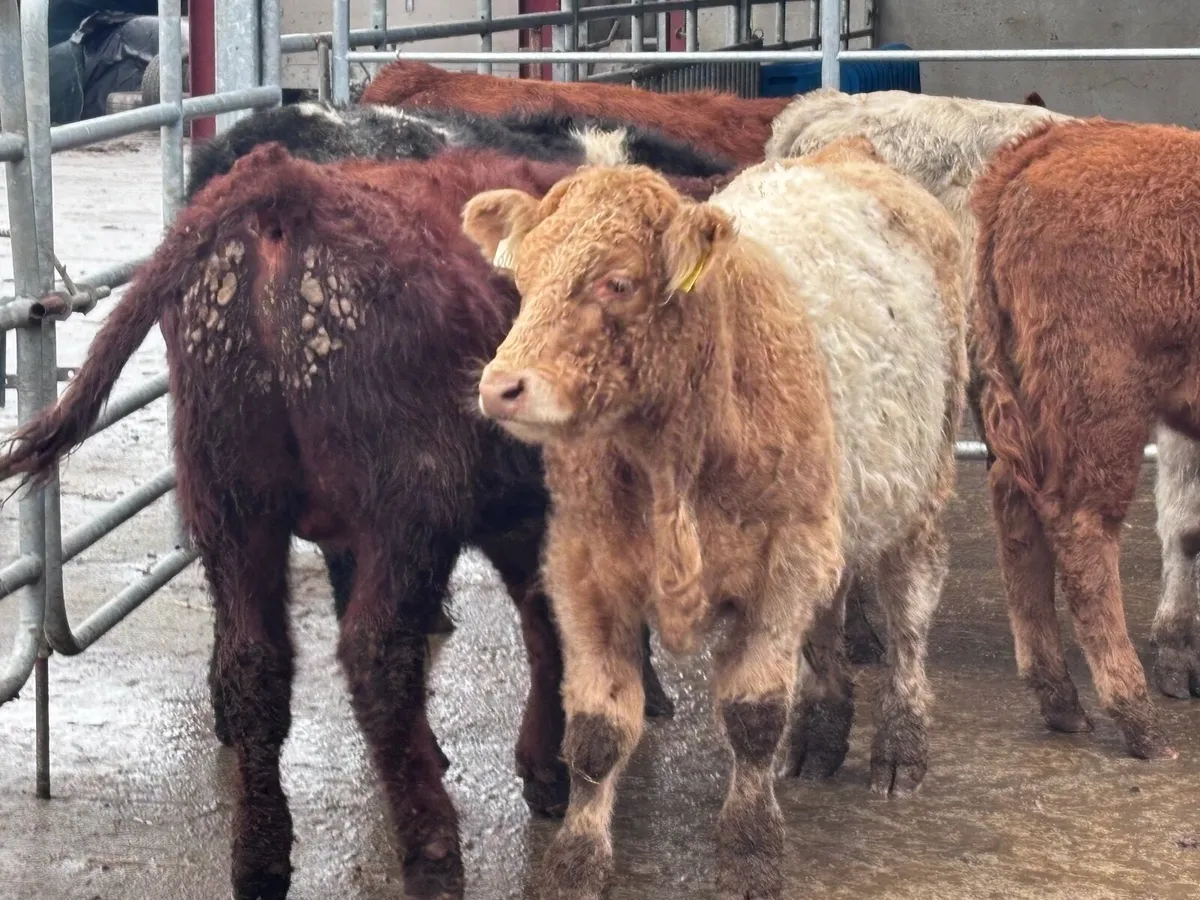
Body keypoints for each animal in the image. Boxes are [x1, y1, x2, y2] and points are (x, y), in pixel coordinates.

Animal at [0, 146, 728, 900]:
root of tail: (284, 184)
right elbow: (551, 627)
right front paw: (556, 764)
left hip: (233, 504)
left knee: (258, 663)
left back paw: (260, 858)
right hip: (406, 508)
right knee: (378, 656)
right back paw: (434, 857)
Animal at [465, 137, 966, 899]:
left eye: (618, 283)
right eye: (522, 277)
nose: (502, 386)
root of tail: (844, 152)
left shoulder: (782, 564)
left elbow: (754, 716)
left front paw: (750, 852)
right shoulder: (585, 568)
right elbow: (596, 730)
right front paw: (575, 864)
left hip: (922, 489)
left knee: (909, 619)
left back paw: (900, 747)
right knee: (829, 623)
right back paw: (822, 736)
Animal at [971, 116, 1200, 763]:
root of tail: (1052, 143)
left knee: (1017, 516)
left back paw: (1060, 701)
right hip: (1102, 412)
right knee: (1082, 530)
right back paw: (1138, 720)